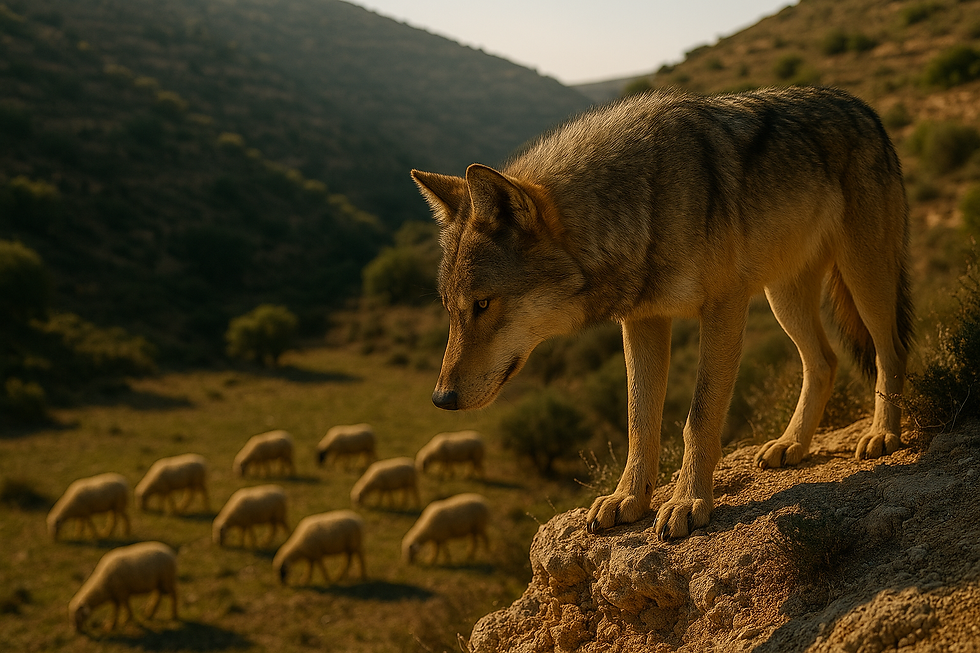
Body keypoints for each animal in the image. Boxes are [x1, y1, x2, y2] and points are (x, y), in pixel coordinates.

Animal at [411, 86, 913, 540]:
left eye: (482, 304)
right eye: (451, 310)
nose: (440, 399)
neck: (642, 204)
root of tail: (862, 107)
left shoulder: (724, 308)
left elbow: (699, 418)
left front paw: (689, 502)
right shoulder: (643, 321)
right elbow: (640, 420)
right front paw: (629, 499)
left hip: (863, 275)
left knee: (889, 351)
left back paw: (882, 435)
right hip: (783, 296)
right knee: (823, 363)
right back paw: (792, 444)